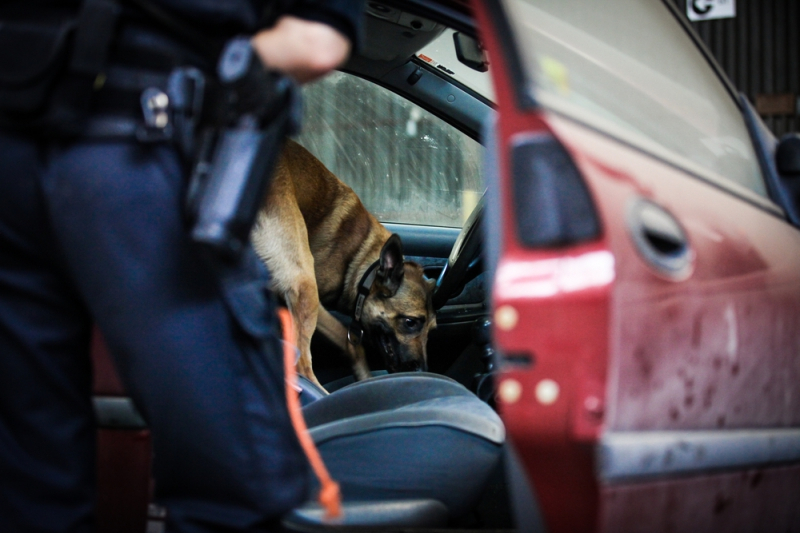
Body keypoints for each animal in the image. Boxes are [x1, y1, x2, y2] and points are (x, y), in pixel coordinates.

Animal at [252, 138, 434, 386]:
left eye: (431, 328)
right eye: (411, 322)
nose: (423, 371)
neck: (363, 263)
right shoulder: (316, 303)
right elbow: (351, 343)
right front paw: (365, 376)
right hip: (304, 285)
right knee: (301, 364)